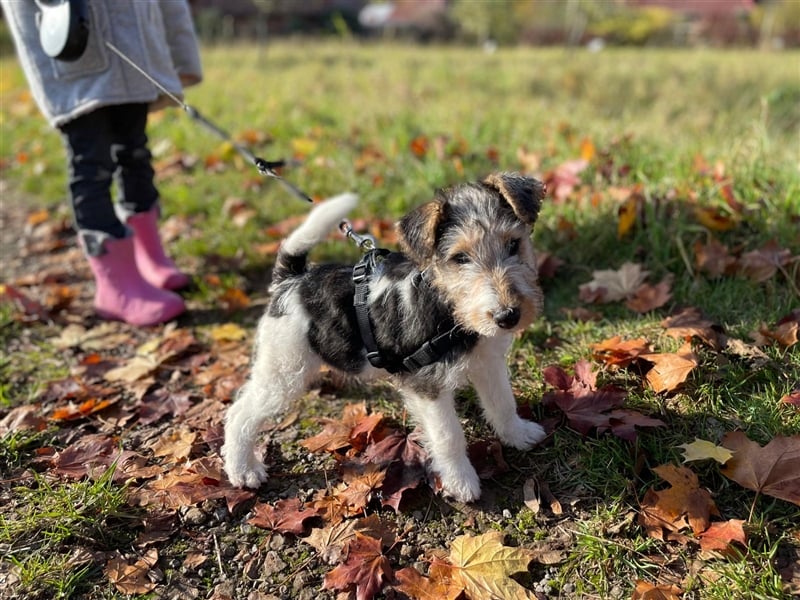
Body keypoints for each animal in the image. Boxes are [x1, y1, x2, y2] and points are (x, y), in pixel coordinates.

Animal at [225, 172, 552, 502]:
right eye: (460, 257)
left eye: (513, 244)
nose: (508, 316)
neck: (449, 311)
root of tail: (291, 281)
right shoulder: (428, 386)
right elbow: (448, 436)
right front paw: (461, 482)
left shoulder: (488, 362)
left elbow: (502, 403)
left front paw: (519, 434)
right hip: (283, 371)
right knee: (240, 413)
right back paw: (243, 470)